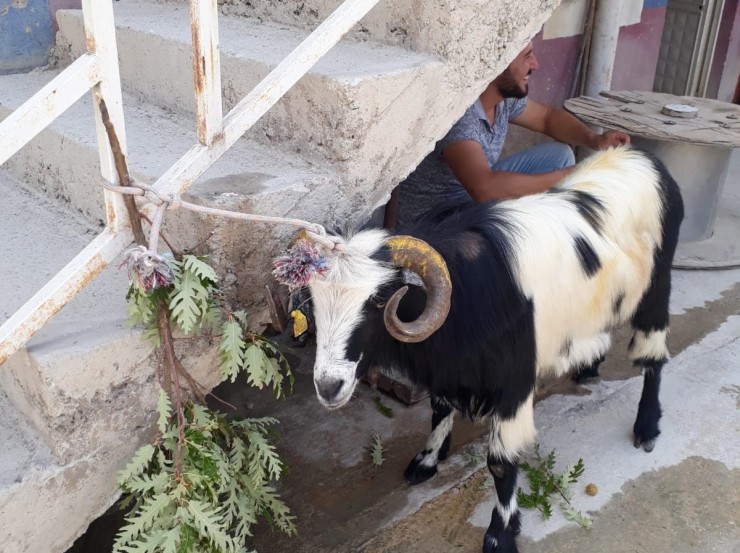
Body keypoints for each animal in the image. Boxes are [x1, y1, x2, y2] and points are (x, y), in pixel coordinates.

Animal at [282, 147, 684, 552]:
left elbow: (501, 464)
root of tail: (639, 156)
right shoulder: (447, 368)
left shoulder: (513, 386)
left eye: (379, 300)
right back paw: (589, 368)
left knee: (653, 359)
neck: (468, 293)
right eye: (312, 298)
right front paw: (427, 461)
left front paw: (500, 533)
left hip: (656, 289)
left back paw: (647, 427)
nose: (328, 386)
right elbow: (439, 411)